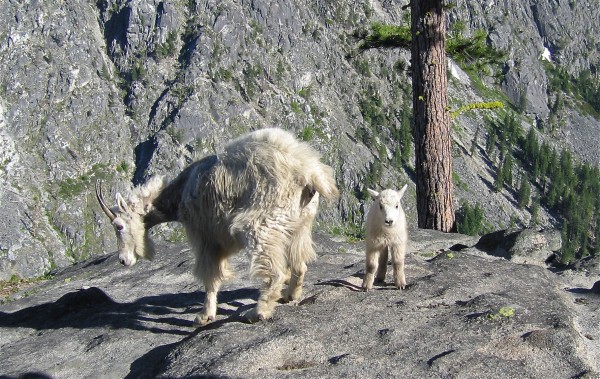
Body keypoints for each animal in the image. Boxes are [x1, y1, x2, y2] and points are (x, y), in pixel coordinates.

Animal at [94, 129, 338, 326]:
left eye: (119, 225)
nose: (123, 260)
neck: (179, 192)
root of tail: (308, 172)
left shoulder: (204, 236)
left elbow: (210, 276)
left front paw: (204, 316)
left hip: (260, 223)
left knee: (273, 270)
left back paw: (258, 312)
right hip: (301, 223)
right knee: (299, 263)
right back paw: (289, 295)